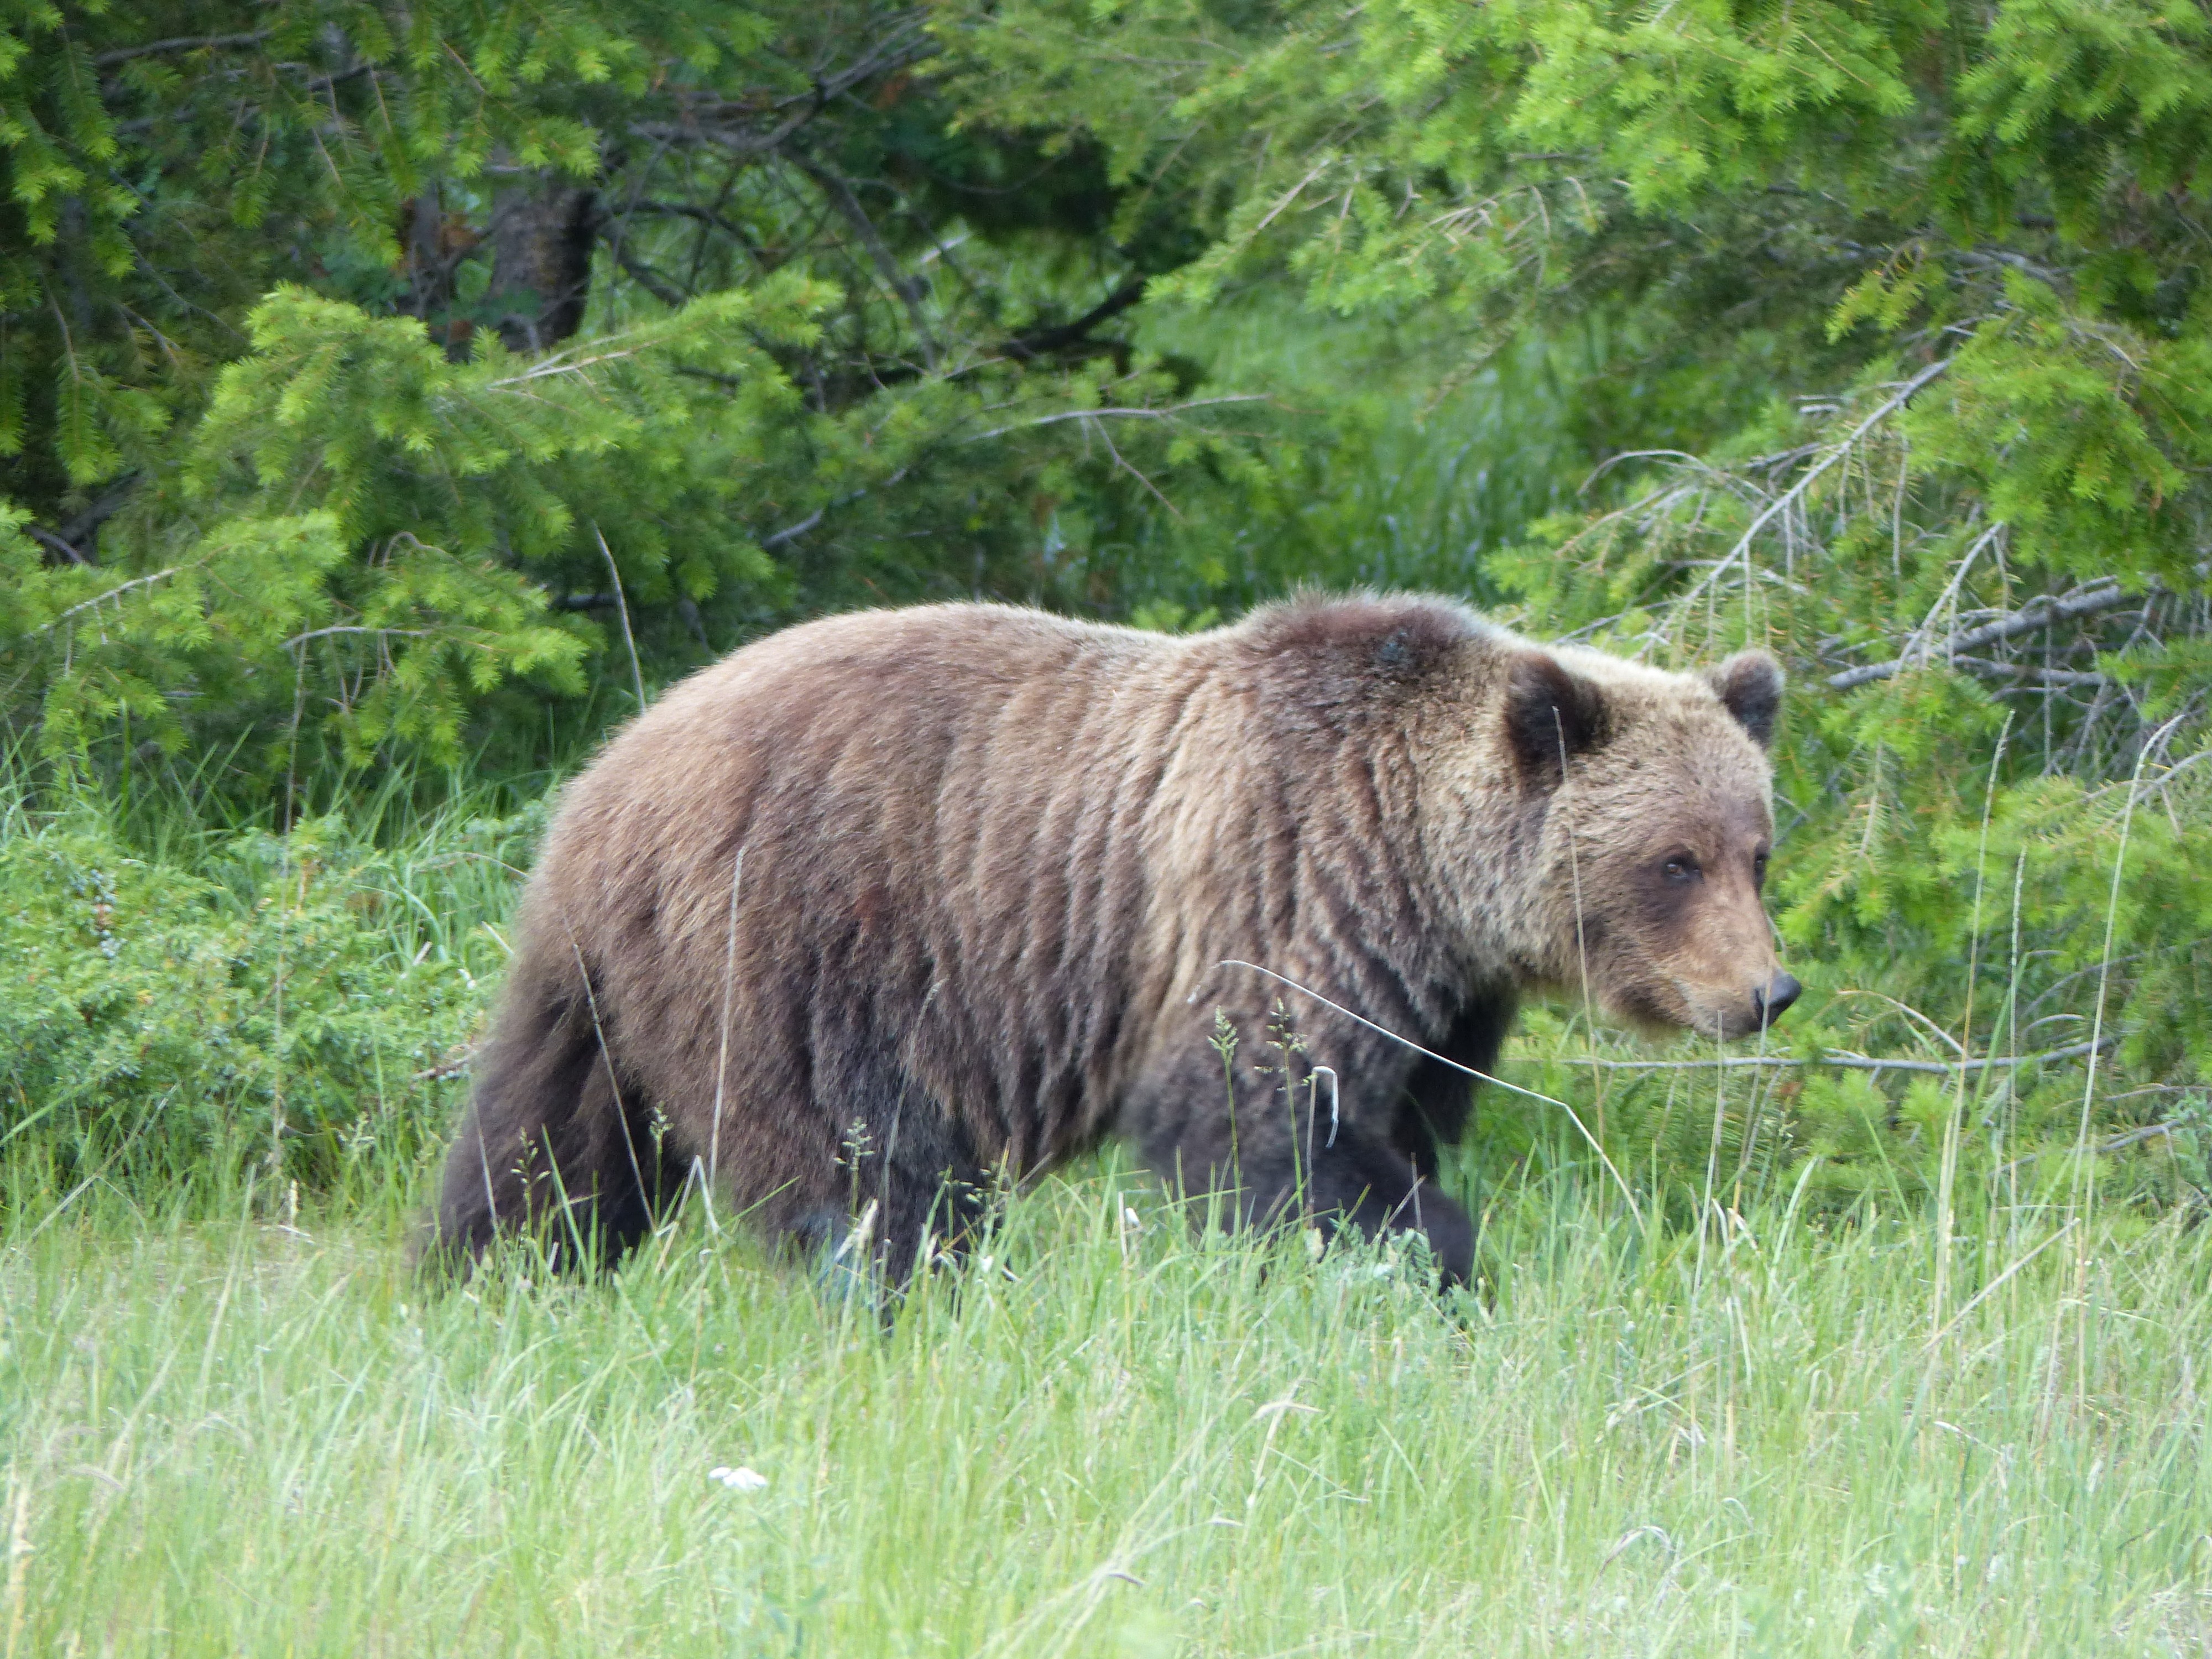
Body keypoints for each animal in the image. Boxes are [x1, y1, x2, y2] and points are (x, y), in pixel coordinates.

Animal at [432, 592, 1797, 1286]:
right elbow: (1261, 1123)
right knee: (863, 1171)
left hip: (607, 979)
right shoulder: (1280, 889)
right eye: (1672, 859)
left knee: (545, 1145)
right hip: (796, 940)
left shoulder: (1437, 1005)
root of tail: (607, 773)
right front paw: (1429, 1262)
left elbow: (1393, 1118)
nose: (1767, 989)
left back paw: (490, 1279)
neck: (1422, 875)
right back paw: (913, 1290)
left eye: (1757, 848)